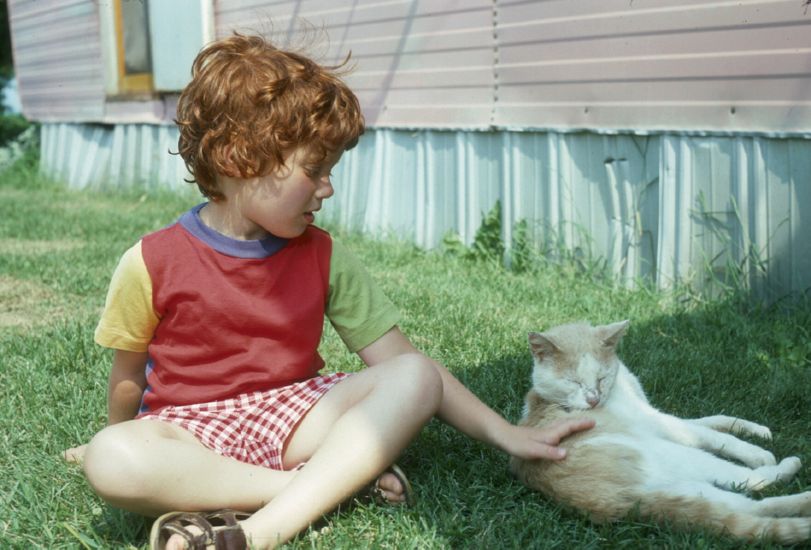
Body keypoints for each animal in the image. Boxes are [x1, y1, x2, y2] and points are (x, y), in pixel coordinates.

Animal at [510, 322, 808, 544]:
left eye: (601, 377)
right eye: (573, 382)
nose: (593, 400)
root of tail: (610, 503)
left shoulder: (656, 413)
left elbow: (714, 420)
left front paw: (757, 430)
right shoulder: (656, 422)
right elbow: (712, 435)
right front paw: (755, 451)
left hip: (688, 490)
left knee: (749, 507)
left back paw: (805, 502)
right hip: (672, 454)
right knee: (750, 483)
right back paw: (790, 469)